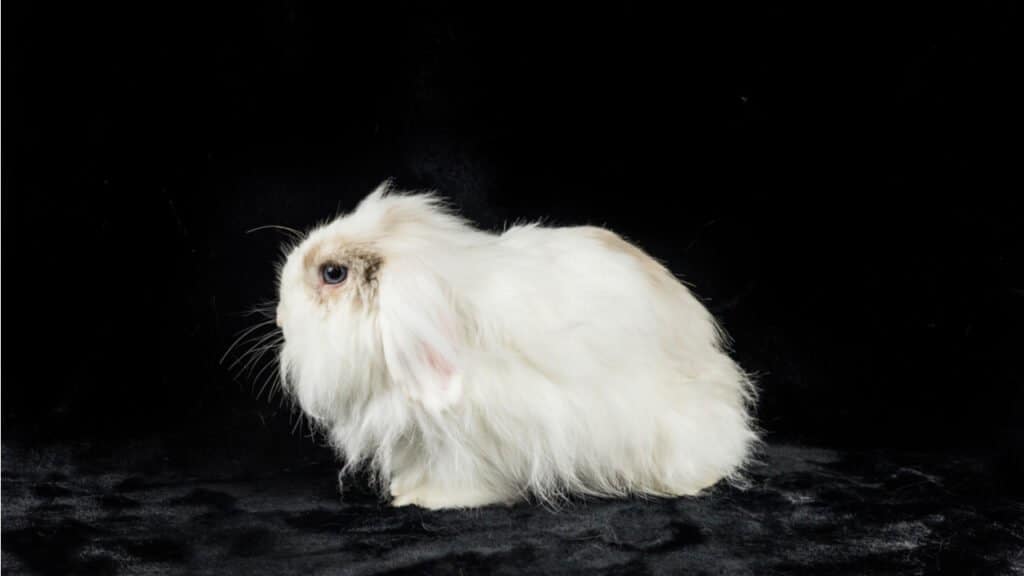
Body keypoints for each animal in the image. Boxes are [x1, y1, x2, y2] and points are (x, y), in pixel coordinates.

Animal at [276, 179, 757, 506]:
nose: (279, 314)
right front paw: (403, 489)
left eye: (332, 273)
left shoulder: (465, 442)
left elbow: (458, 475)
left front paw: (425, 499)